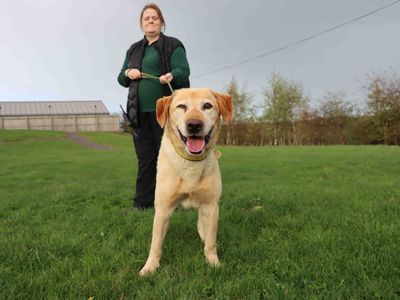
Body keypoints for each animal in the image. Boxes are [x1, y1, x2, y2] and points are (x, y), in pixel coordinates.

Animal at [139, 88, 233, 276]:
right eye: (181, 106)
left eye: (207, 106)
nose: (194, 125)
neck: (191, 163)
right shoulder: (162, 209)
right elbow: (156, 243)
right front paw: (150, 267)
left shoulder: (211, 206)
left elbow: (210, 241)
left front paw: (213, 262)